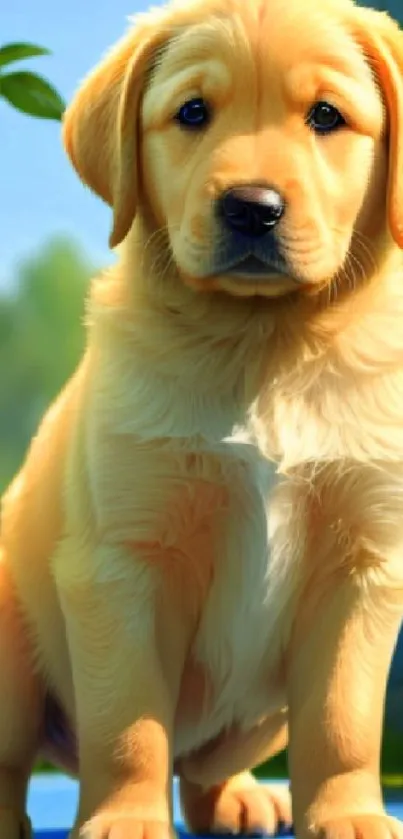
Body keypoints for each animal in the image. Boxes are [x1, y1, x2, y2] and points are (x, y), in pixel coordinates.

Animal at [0, 0, 403, 836]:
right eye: (191, 113)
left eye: (326, 116)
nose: (251, 208)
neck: (262, 342)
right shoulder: (121, 564)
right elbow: (128, 725)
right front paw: (125, 817)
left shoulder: (363, 566)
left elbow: (343, 718)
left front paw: (348, 812)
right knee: (15, 755)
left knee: (203, 764)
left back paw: (242, 795)